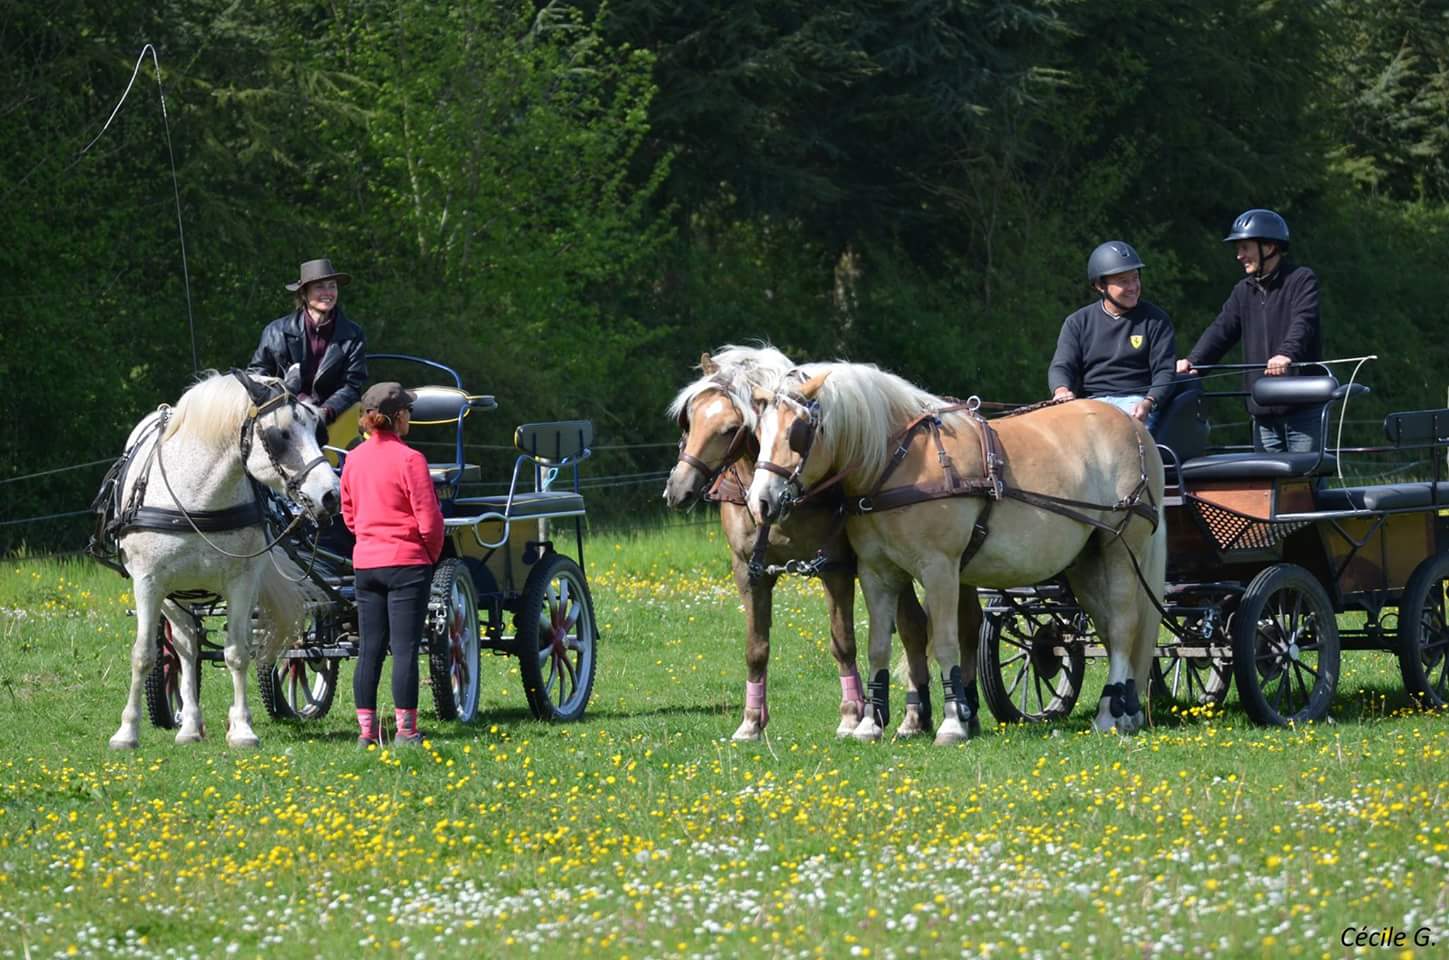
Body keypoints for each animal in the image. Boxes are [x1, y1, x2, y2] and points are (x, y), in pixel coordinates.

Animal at [92, 367, 340, 752]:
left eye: (318, 429)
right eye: (280, 434)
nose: (331, 495)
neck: (196, 496)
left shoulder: (242, 582)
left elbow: (238, 652)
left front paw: (242, 729)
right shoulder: (148, 582)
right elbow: (144, 654)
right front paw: (127, 731)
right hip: (174, 597)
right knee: (185, 648)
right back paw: (189, 725)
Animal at [663, 347, 979, 741]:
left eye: (731, 429)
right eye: (689, 419)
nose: (678, 489)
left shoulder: (834, 568)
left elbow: (843, 643)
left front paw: (851, 716)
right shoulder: (748, 571)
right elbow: (756, 649)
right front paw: (751, 722)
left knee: (952, 625)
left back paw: (948, 712)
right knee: (914, 627)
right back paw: (915, 717)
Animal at [747, 364, 1164, 747]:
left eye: (797, 434)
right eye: (758, 434)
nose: (760, 502)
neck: (898, 462)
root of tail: (1134, 426)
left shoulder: (940, 568)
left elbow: (946, 641)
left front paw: (952, 722)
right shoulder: (876, 572)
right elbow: (878, 645)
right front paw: (869, 723)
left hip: (1122, 548)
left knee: (1124, 625)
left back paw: (1110, 713)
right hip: (1085, 562)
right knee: (1109, 629)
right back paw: (1126, 709)